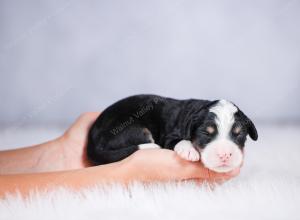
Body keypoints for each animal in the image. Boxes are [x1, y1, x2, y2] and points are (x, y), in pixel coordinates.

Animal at [86, 93, 258, 173]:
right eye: (206, 133)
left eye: (238, 134)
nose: (225, 155)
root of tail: (92, 142)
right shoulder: (169, 135)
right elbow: (179, 140)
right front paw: (189, 151)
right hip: (133, 129)